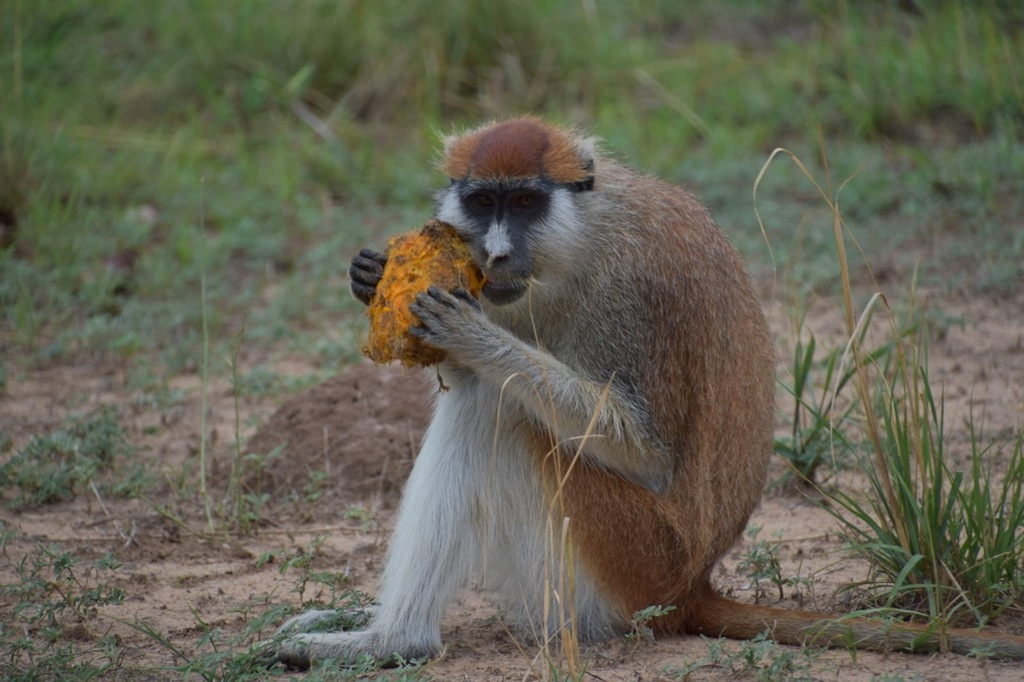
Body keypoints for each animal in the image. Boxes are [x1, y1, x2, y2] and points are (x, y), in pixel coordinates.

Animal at [269, 116, 1024, 668]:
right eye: (482, 202)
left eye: (526, 202)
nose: (499, 253)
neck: (582, 238)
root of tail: (690, 586)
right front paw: (372, 274)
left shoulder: (633, 291)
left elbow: (643, 450)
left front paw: (469, 333)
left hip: (622, 558)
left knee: (491, 410)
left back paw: (396, 640)